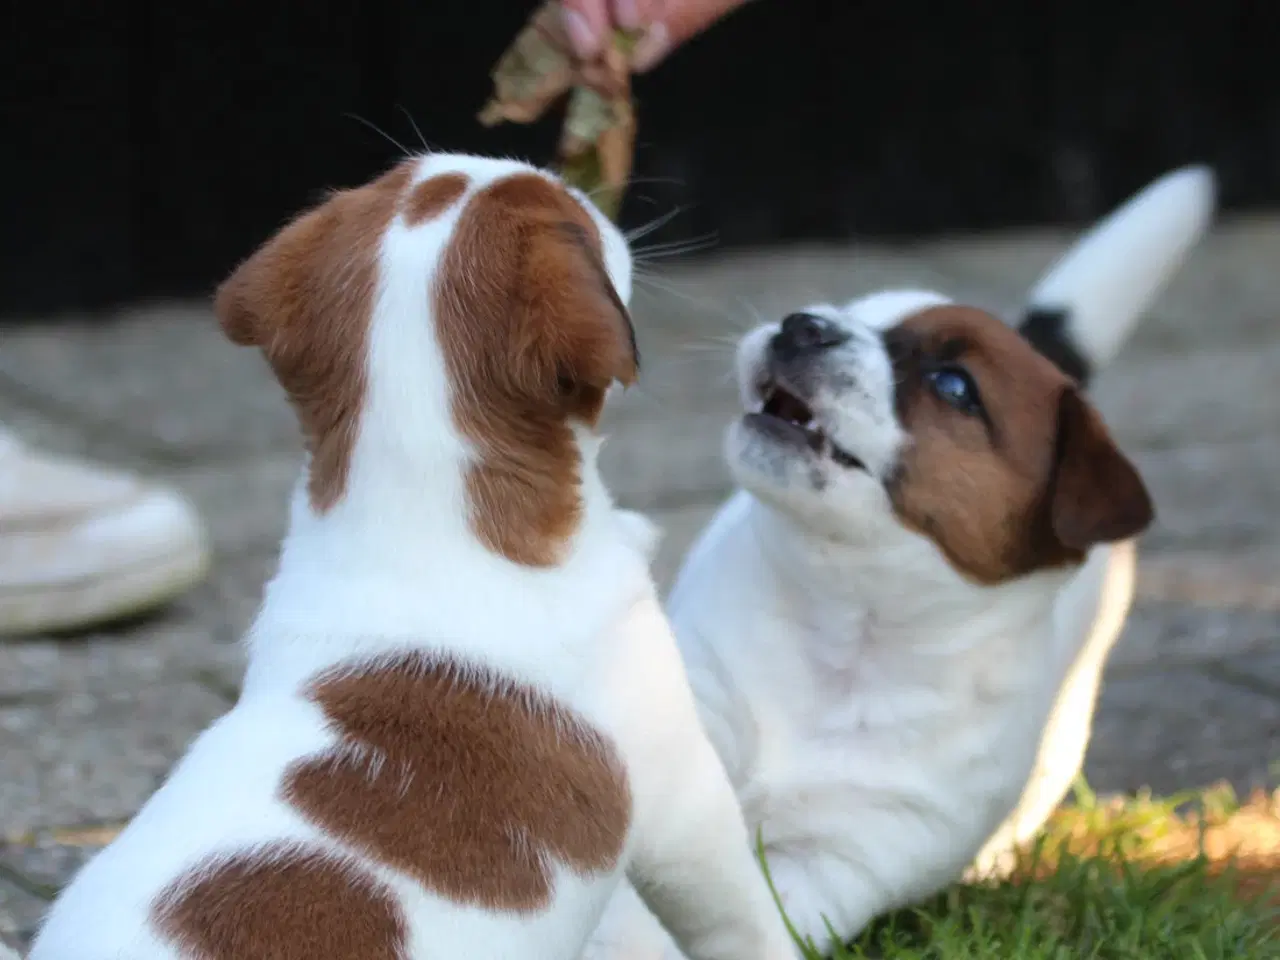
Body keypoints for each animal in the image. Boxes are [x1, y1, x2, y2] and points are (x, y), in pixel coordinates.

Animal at [586, 167, 1213, 960]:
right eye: (845, 315)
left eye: (953, 386)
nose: (802, 324)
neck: (845, 628)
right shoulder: (691, 730)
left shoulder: (837, 864)